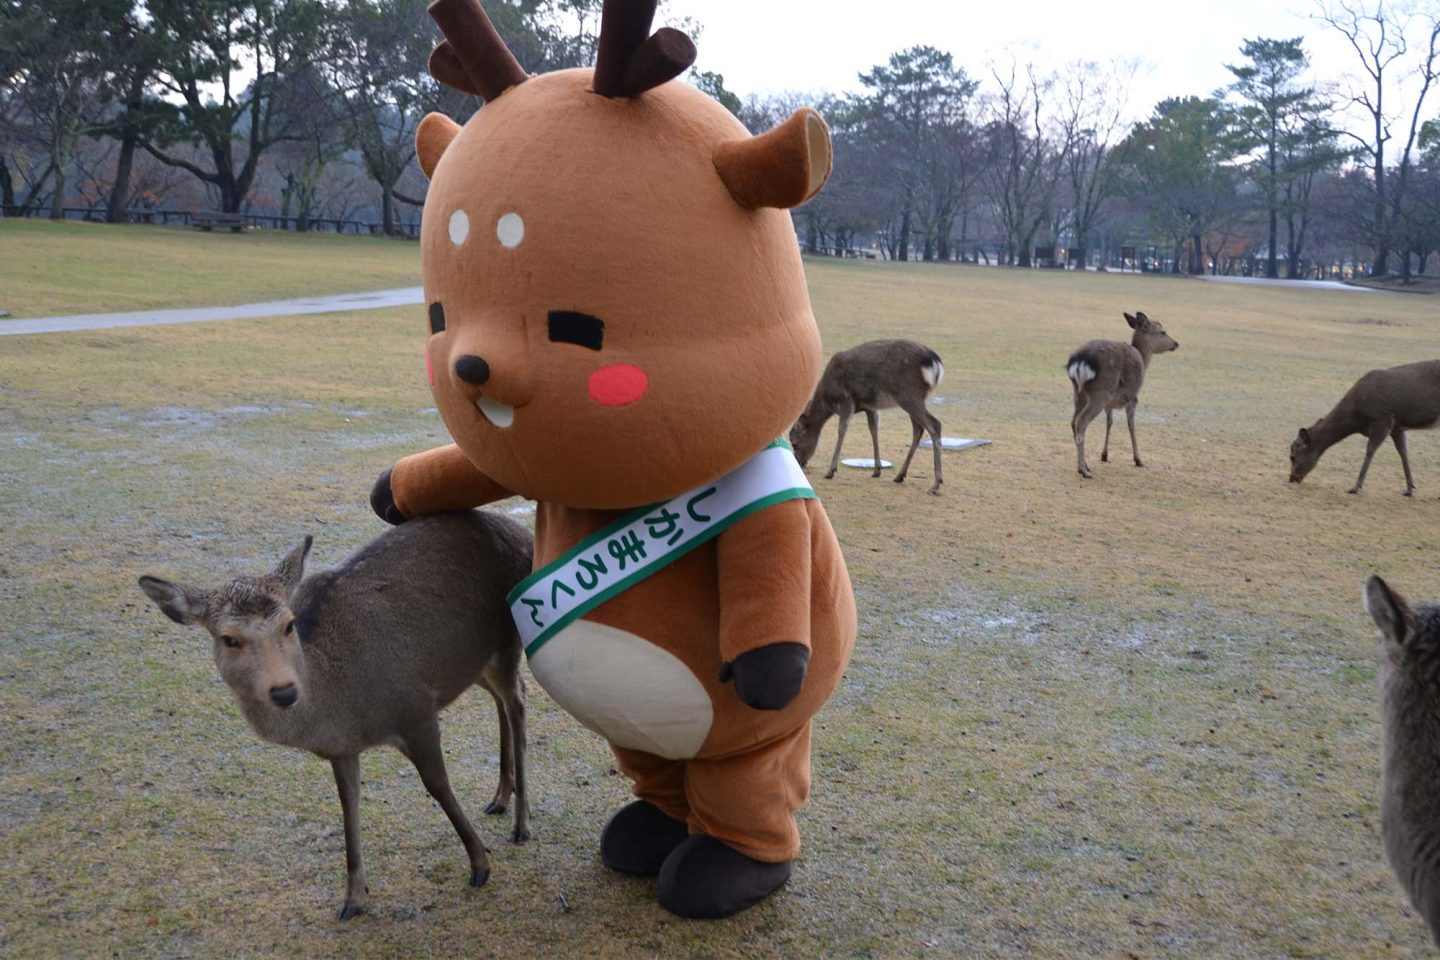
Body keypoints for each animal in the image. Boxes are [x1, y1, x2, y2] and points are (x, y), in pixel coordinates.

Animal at [138, 510, 533, 921]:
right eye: (228, 639)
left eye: (288, 624)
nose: (284, 690)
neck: (341, 710)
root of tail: (522, 535)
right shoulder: (342, 749)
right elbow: (348, 804)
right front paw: (353, 898)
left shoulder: (416, 709)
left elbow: (438, 786)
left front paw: (480, 864)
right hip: (474, 662)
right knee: (503, 700)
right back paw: (500, 797)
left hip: (508, 638)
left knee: (518, 699)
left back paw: (521, 822)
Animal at [788, 339, 946, 495]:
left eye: (795, 443)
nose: (799, 462)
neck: (827, 400)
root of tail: (935, 362)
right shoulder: (870, 407)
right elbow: (873, 430)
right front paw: (877, 470)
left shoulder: (846, 399)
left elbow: (842, 430)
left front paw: (830, 471)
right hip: (913, 399)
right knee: (918, 429)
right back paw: (900, 475)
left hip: (909, 395)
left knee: (935, 424)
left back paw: (936, 484)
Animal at [1066, 311, 1179, 479]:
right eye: (1162, 332)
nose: (1176, 343)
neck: (1143, 361)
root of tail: (1079, 361)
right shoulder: (1133, 397)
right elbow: (1131, 425)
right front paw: (1138, 460)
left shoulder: (1110, 404)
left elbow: (1110, 422)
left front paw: (1104, 455)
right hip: (1100, 393)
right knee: (1081, 422)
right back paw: (1083, 470)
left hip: (1079, 393)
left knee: (1073, 421)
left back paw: (1085, 465)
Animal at [1288, 360, 1440, 496]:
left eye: (1292, 457)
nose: (1292, 478)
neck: (1357, 420)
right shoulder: (1397, 426)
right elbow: (1403, 451)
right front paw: (1410, 488)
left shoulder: (1382, 420)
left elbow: (1370, 450)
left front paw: (1355, 487)